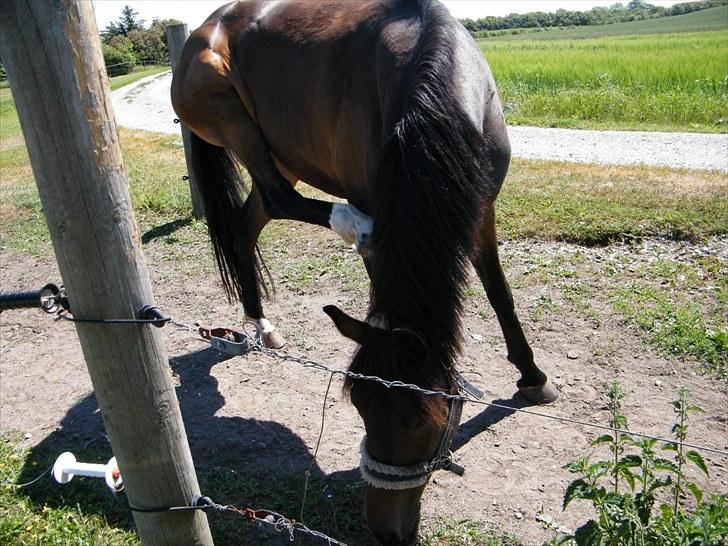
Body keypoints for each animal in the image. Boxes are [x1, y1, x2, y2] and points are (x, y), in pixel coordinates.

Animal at [171, 1, 556, 540]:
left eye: (422, 421)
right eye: (358, 406)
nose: (385, 531)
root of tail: (199, 34)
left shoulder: (480, 208)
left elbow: (501, 294)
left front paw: (532, 376)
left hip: (282, 153)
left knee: (249, 225)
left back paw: (261, 324)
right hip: (235, 123)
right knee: (277, 197)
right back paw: (348, 226)